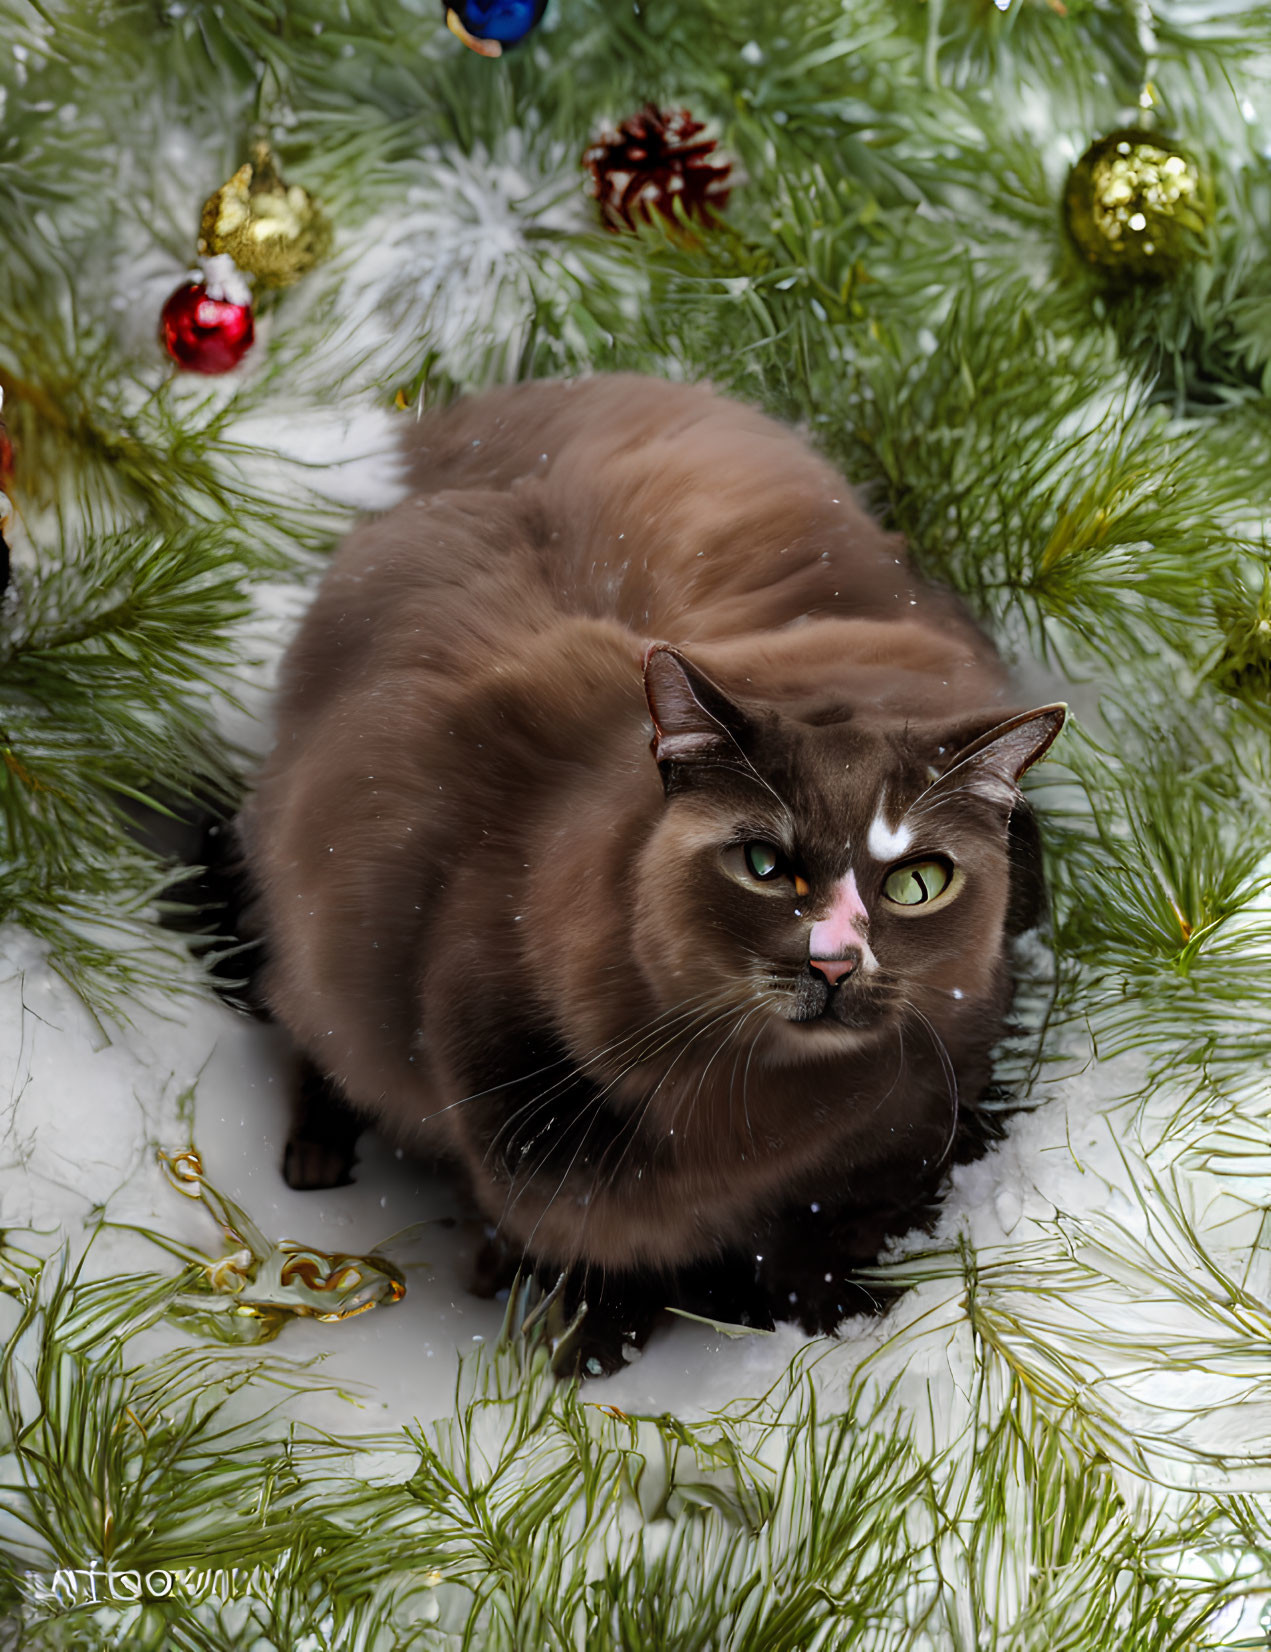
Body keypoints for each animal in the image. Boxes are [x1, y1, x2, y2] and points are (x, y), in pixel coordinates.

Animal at [234, 375, 1057, 1367]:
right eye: (762, 863)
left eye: (914, 883)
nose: (832, 960)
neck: (742, 1115)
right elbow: (594, 1245)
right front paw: (589, 1347)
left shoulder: (902, 1140)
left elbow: (825, 1250)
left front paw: (834, 1332)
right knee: (302, 1023)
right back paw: (320, 1165)